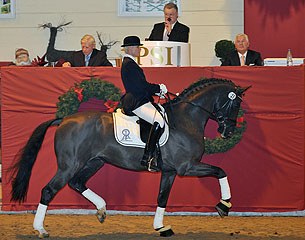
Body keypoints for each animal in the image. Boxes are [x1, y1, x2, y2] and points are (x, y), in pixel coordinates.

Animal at [11, 78, 249, 237]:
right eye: (236, 104)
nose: (228, 132)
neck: (185, 120)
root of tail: (64, 120)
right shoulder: (187, 166)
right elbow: (220, 171)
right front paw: (224, 205)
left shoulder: (171, 171)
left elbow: (162, 198)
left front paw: (161, 227)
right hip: (69, 165)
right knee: (49, 190)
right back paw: (41, 229)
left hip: (94, 162)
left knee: (77, 183)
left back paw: (101, 210)